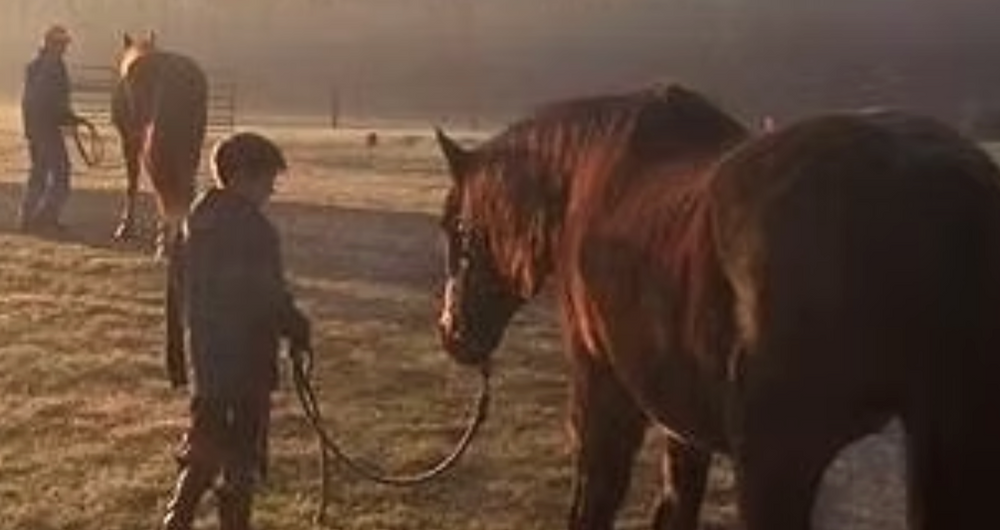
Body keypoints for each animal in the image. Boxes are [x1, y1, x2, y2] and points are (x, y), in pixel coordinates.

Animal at [111, 31, 207, 256]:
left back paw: (164, 242)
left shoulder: (129, 140)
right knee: (185, 190)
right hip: (190, 148)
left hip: (155, 149)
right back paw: (179, 239)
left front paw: (125, 228)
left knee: (163, 190)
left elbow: (132, 182)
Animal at [434, 84, 1000, 530]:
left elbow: (594, 503)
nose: (451, 332)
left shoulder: (602, 394)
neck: (585, 185)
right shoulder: (682, 420)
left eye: (453, 227)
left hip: (777, 461)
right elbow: (675, 507)